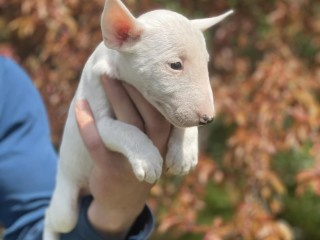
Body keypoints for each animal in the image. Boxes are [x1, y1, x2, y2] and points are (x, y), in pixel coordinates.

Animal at [43, 0, 232, 239]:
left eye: (206, 62)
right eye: (175, 65)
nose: (208, 118)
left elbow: (183, 124)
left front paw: (185, 154)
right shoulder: (95, 118)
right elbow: (126, 130)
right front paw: (148, 160)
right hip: (66, 205)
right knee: (51, 217)